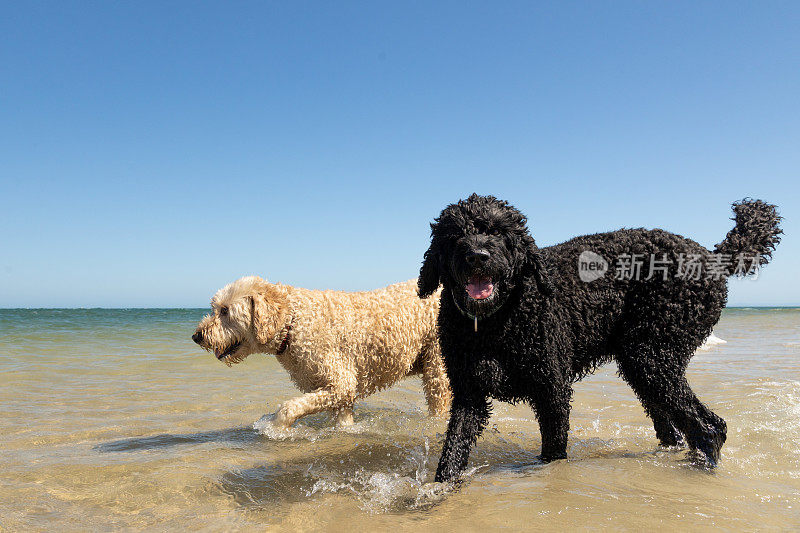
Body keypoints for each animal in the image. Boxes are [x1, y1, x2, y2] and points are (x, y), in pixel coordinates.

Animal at [418, 193, 780, 480]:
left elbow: (553, 451)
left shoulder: (552, 390)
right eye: (455, 234)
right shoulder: (469, 393)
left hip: (651, 357)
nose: (478, 256)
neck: (493, 321)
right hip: (647, 364)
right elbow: (453, 452)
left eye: (499, 232)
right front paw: (437, 492)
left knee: (709, 427)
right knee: (677, 427)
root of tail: (714, 257)